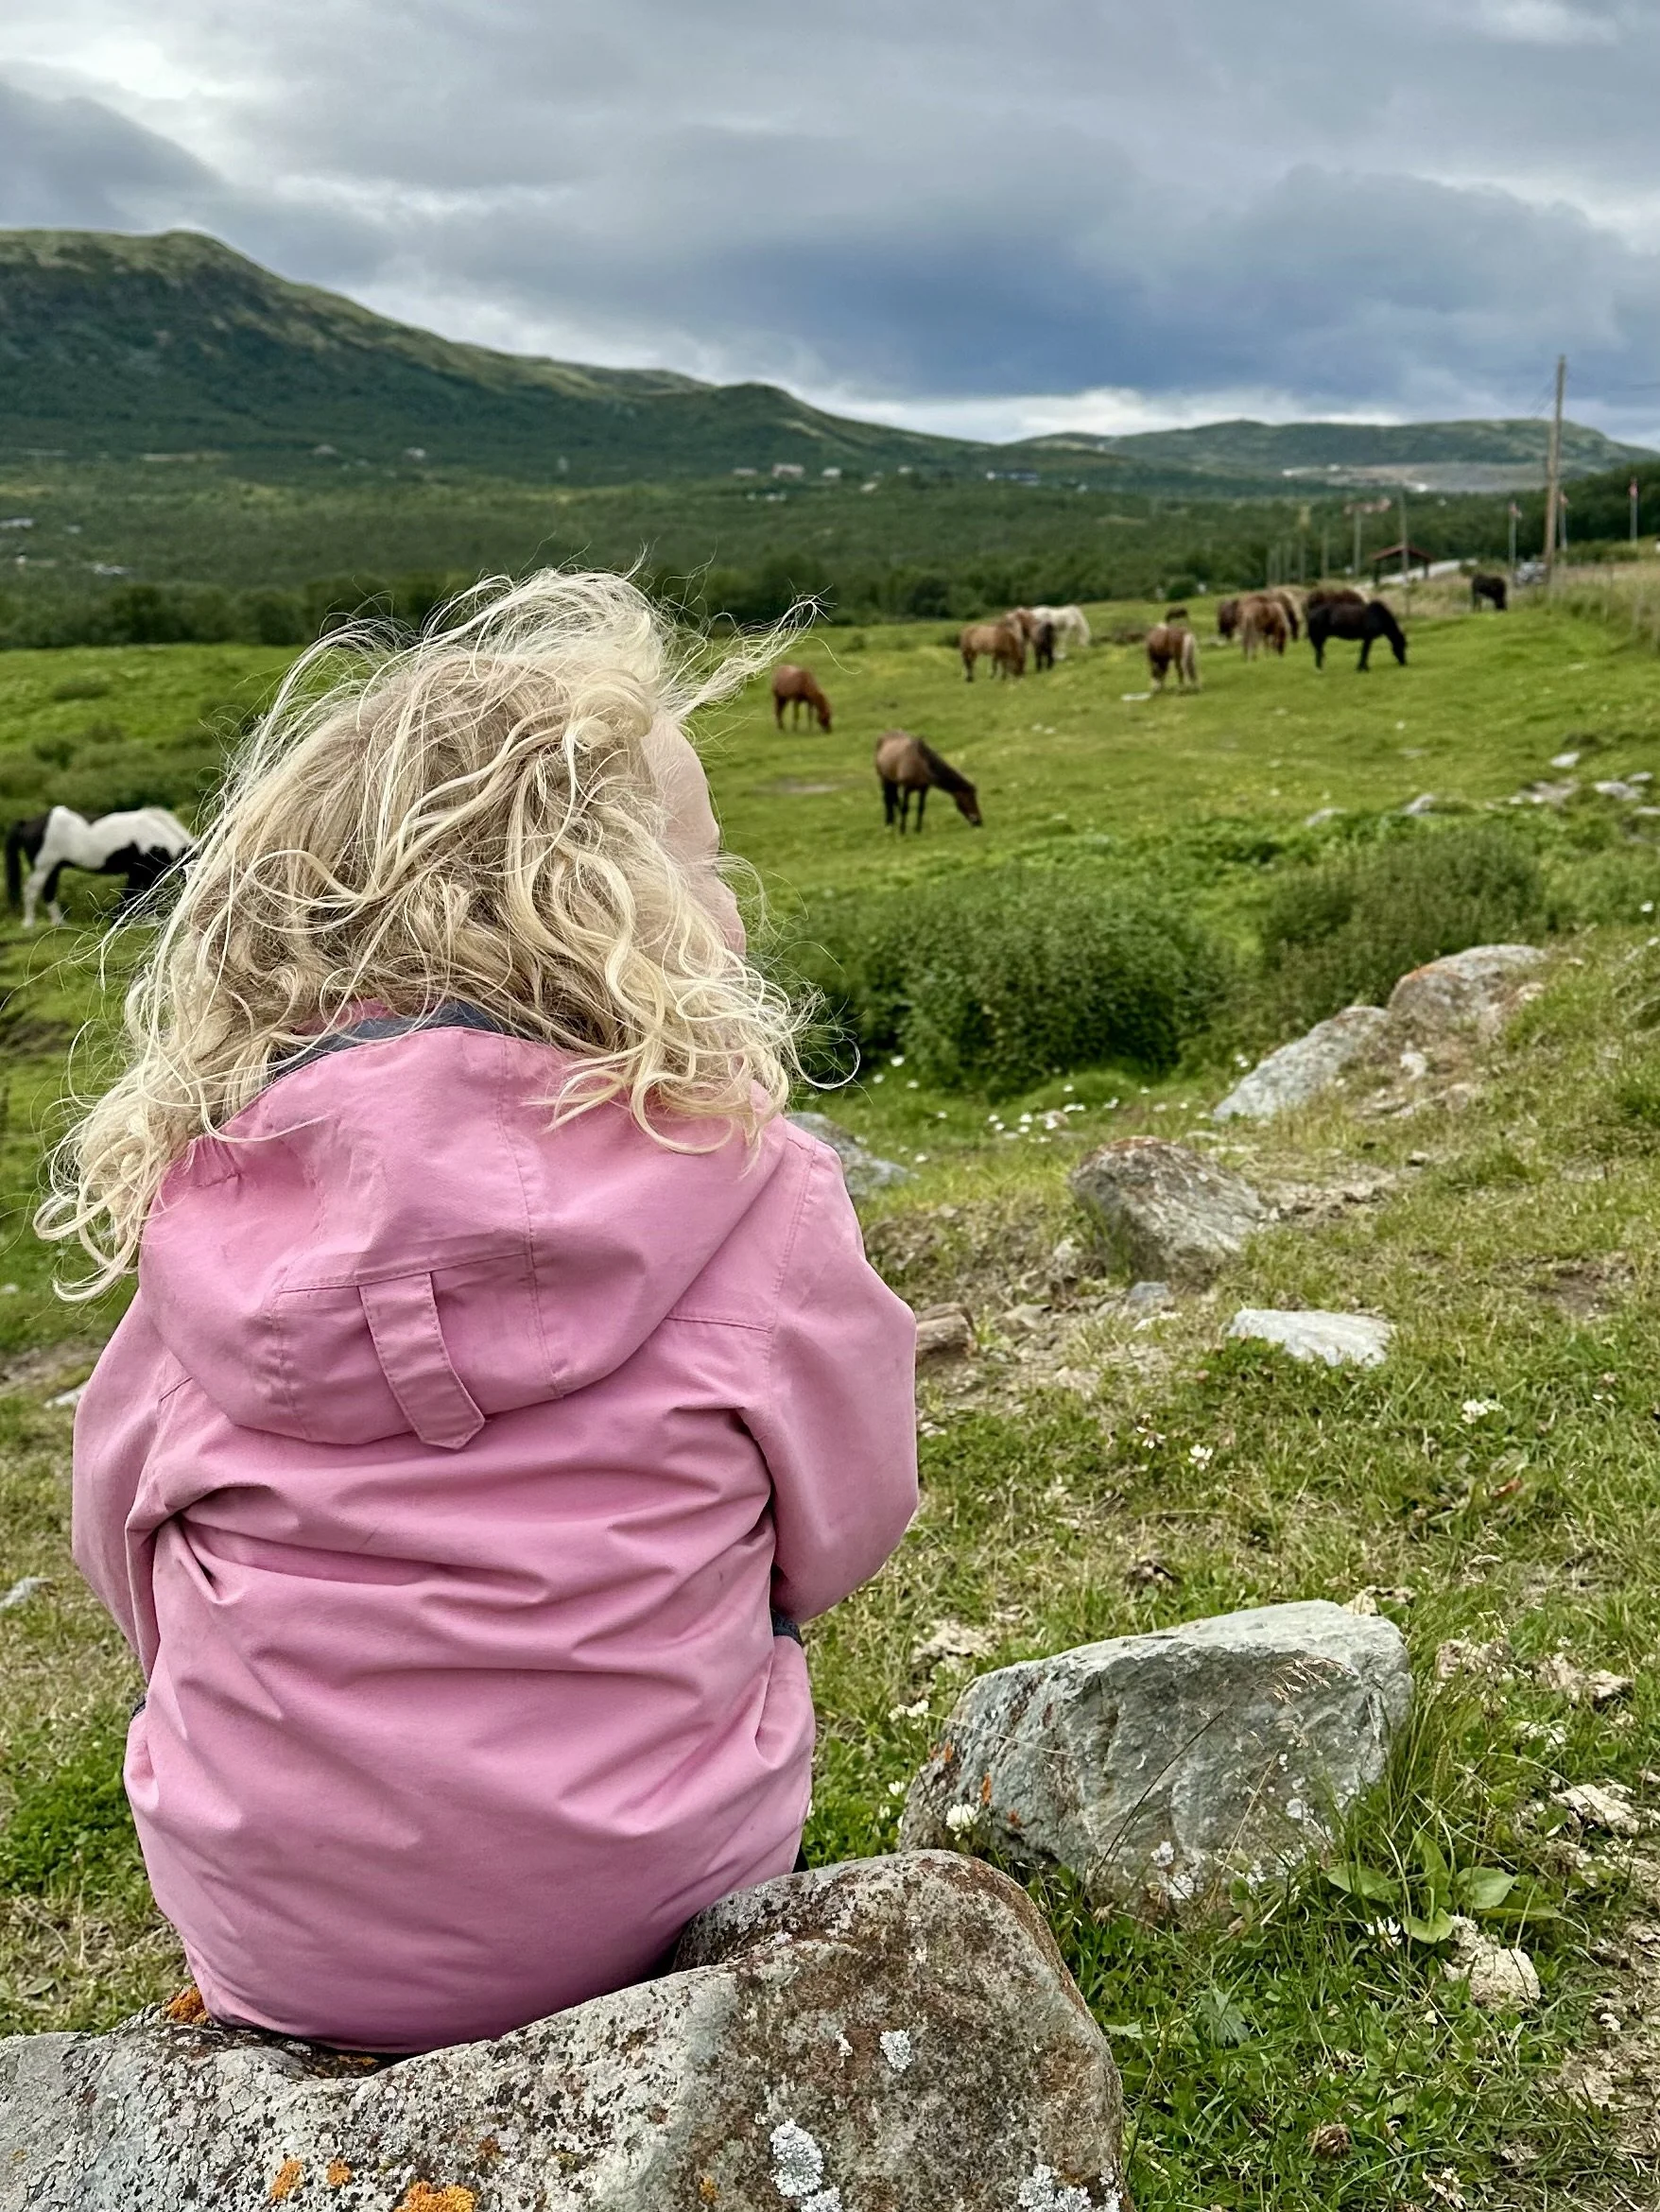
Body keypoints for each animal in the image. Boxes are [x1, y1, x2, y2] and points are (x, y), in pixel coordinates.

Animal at [6, 804, 193, 929]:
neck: (157, 832)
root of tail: (28, 823)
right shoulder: (141, 871)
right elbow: (138, 894)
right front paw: (124, 921)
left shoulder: (145, 872)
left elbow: (140, 894)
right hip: (43, 867)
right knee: (31, 891)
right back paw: (29, 923)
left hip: (54, 868)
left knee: (48, 891)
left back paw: (59, 923)